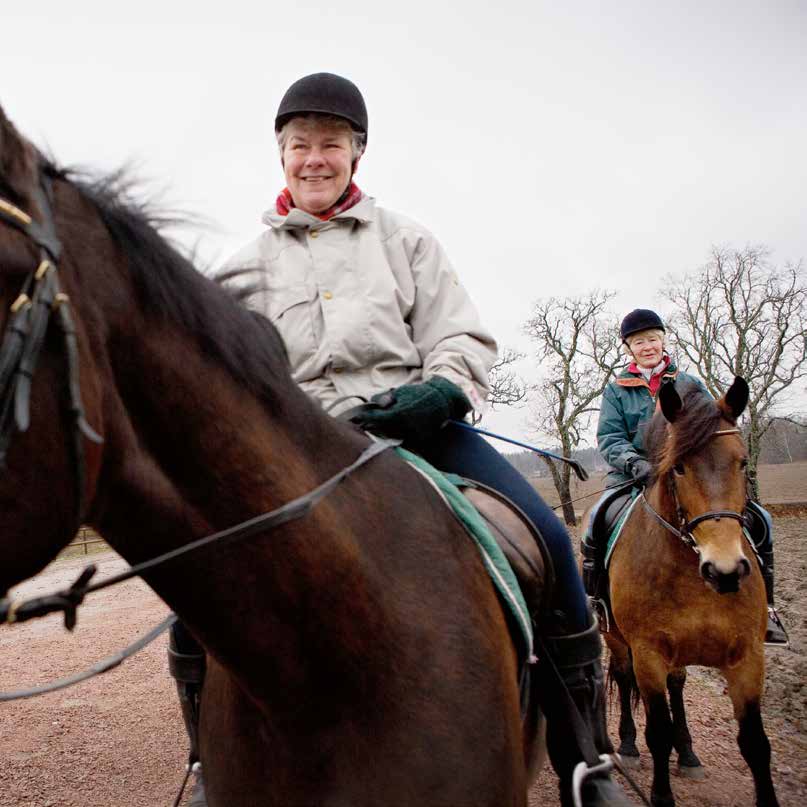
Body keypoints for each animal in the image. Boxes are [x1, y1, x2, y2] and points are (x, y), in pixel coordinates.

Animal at [596, 378, 780, 807]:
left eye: (742, 462)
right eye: (678, 467)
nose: (725, 570)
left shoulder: (748, 656)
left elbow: (755, 743)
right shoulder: (648, 654)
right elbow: (657, 733)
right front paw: (661, 794)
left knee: (678, 685)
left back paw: (689, 753)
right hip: (615, 638)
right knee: (623, 677)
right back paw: (627, 746)